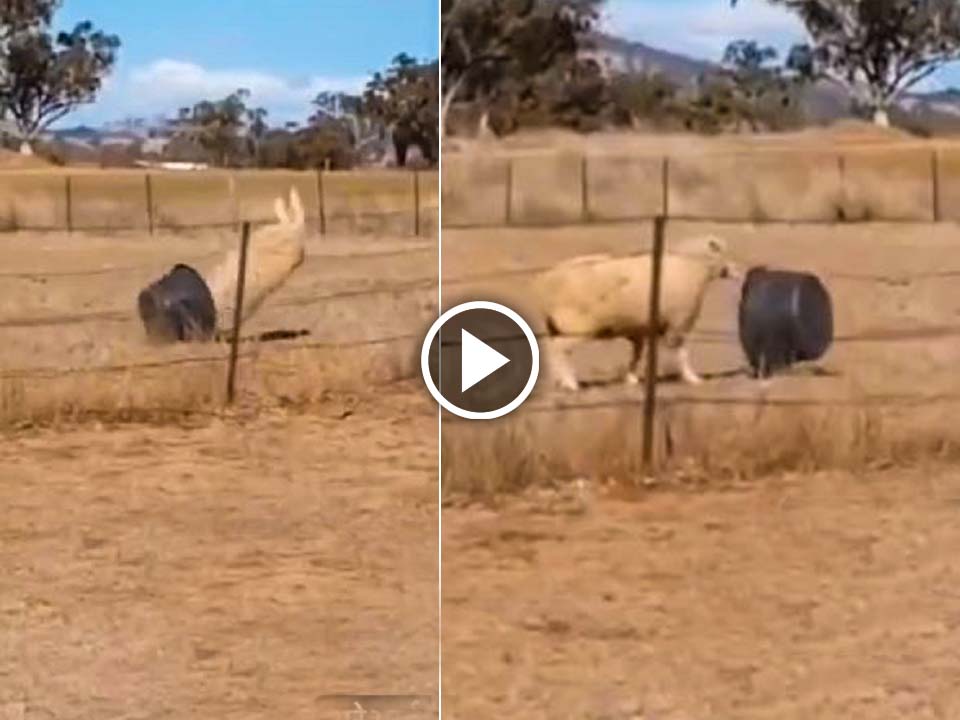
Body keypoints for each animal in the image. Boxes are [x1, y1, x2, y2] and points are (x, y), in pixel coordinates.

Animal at [536, 235, 740, 394]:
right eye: (723, 252)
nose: (737, 272)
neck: (693, 267)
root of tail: (548, 280)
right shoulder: (678, 323)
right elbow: (682, 354)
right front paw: (693, 378)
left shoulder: (642, 327)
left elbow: (638, 353)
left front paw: (632, 378)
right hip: (575, 325)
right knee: (559, 350)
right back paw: (570, 384)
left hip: (558, 325)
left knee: (552, 348)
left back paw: (559, 382)